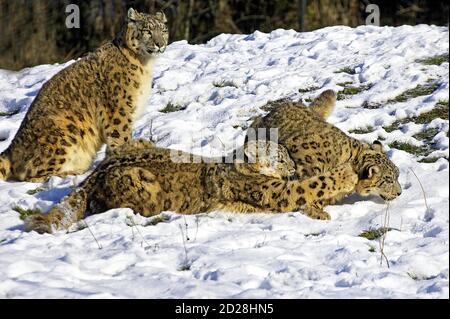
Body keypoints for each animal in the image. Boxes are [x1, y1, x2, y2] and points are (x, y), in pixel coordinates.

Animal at [0, 8, 169, 182]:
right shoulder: (118, 111)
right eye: (147, 31)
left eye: (163, 30)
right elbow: (121, 137)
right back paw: (74, 173)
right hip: (63, 131)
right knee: (33, 174)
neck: (145, 65)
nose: (160, 44)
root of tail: (12, 147)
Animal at [24, 139, 360, 234]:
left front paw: (321, 212)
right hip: (142, 186)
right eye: (279, 157)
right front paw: (347, 174)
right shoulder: (273, 191)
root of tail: (93, 174)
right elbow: (308, 186)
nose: (292, 167)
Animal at [244, 89, 402, 220]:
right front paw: (316, 210)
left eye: (397, 175)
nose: (400, 193)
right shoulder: (304, 169)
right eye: (388, 180)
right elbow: (309, 188)